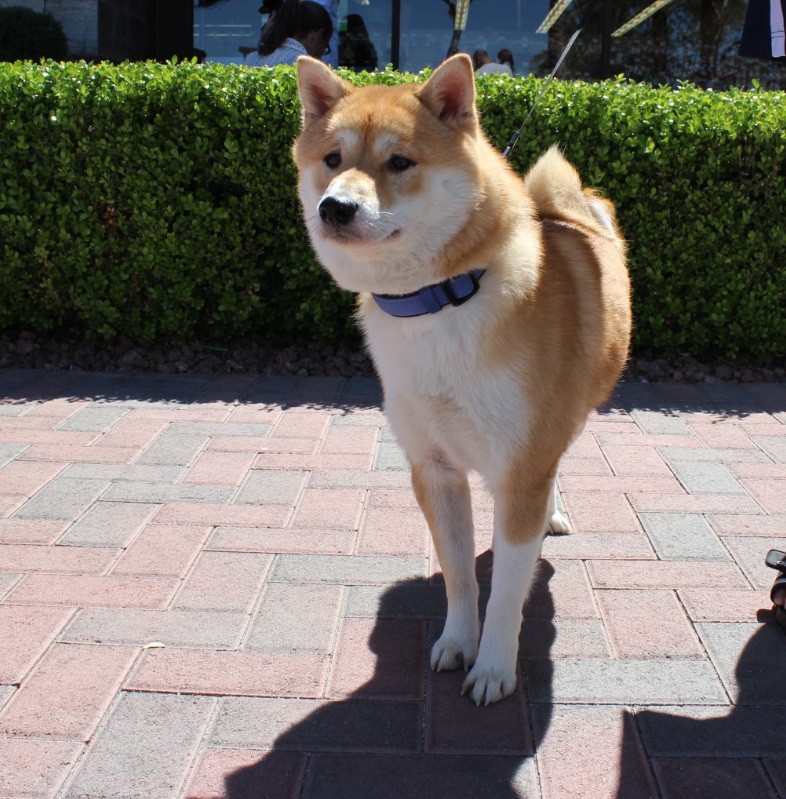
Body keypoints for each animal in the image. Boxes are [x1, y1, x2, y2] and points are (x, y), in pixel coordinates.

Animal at [290, 54, 628, 708]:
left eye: (400, 162)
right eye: (333, 159)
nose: (335, 207)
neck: (441, 301)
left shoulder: (520, 468)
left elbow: (506, 595)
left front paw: (494, 666)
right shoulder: (435, 468)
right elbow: (461, 577)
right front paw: (457, 642)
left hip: (569, 416)